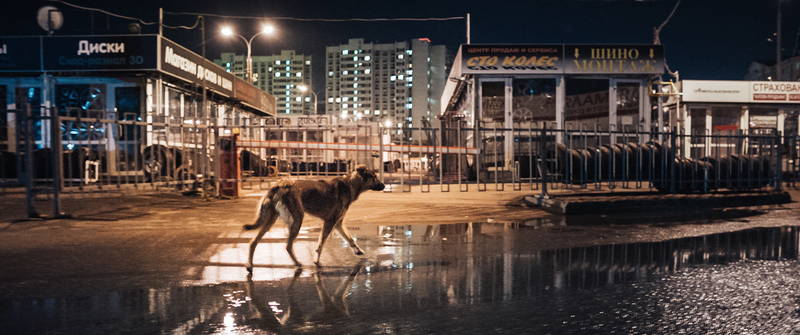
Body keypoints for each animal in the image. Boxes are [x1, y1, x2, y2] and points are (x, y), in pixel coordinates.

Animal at [244, 167, 384, 272]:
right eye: (374, 177)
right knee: (288, 246)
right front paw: (316, 261)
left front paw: (358, 250)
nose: (383, 185)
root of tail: (280, 185)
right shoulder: (330, 222)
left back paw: (250, 265)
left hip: (270, 221)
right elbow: (321, 243)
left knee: (253, 242)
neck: (350, 184)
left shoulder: (338, 223)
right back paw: (297, 264)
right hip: (297, 219)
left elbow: (350, 238)